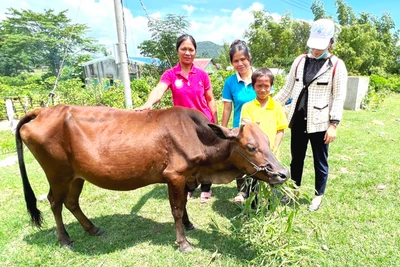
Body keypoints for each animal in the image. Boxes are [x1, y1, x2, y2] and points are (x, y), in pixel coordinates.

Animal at [15, 105, 290, 253]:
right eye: (251, 147)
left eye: (268, 141)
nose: (283, 173)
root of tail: (42, 111)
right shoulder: (174, 175)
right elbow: (177, 209)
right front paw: (183, 242)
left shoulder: (187, 176)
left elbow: (184, 206)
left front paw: (189, 225)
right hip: (57, 173)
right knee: (54, 202)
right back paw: (64, 239)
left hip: (76, 176)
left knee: (71, 202)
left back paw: (92, 228)